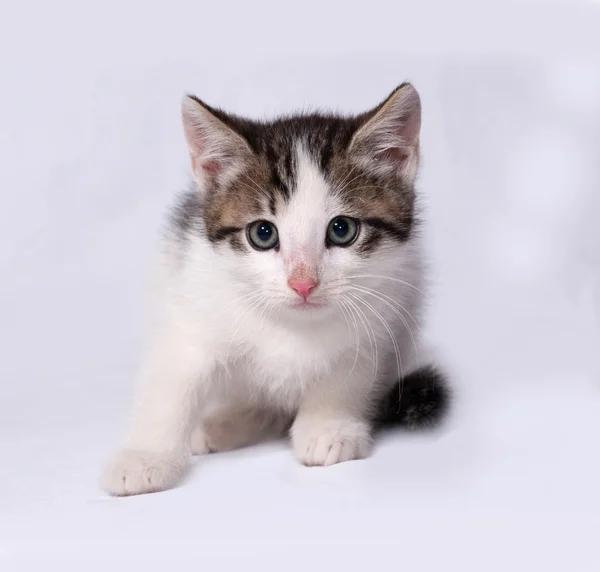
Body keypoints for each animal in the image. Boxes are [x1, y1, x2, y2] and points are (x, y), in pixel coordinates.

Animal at [102, 81, 450, 496]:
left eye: (342, 230)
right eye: (263, 234)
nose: (303, 282)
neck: (291, 325)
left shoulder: (384, 313)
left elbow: (349, 371)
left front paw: (328, 428)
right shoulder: (191, 308)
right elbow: (170, 384)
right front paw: (146, 457)